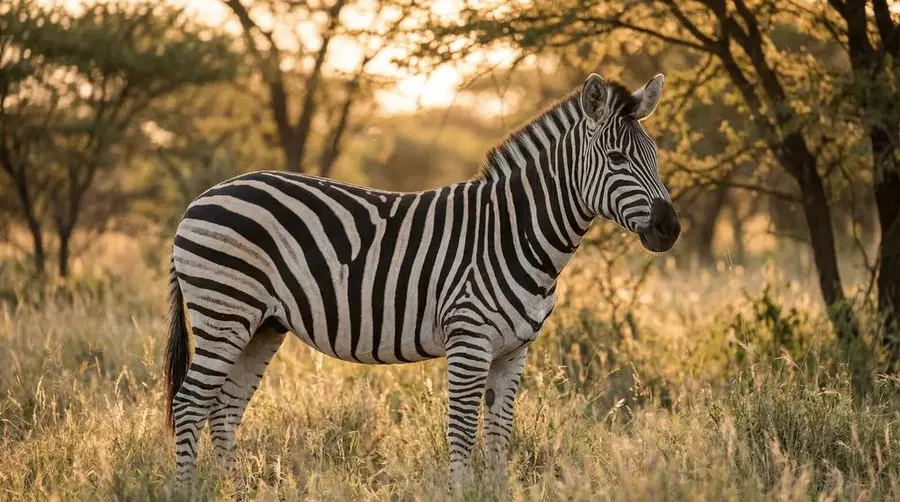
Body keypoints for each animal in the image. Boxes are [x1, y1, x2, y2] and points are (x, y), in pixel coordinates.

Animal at [163, 71, 680, 491]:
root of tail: (200, 199)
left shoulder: (514, 350)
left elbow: (499, 434)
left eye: (654, 156)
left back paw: (236, 492)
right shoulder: (469, 340)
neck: (514, 232)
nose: (669, 228)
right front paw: (460, 492)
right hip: (224, 311)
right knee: (190, 404)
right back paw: (186, 490)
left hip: (263, 325)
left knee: (225, 409)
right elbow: (462, 432)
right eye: (616, 157)